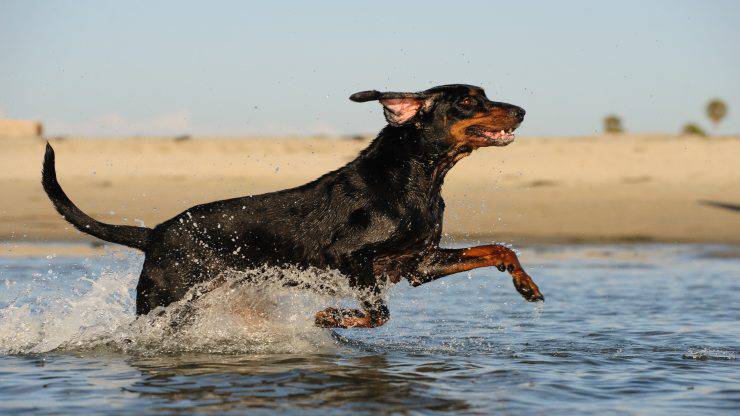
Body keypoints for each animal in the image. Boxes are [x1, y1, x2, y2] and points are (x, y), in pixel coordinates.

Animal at [43, 84, 548, 328]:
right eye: (466, 101)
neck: (416, 178)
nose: (523, 111)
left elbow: (498, 249)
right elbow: (378, 313)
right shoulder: (351, 257)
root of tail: (155, 233)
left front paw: (527, 286)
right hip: (164, 301)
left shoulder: (417, 264)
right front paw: (332, 317)